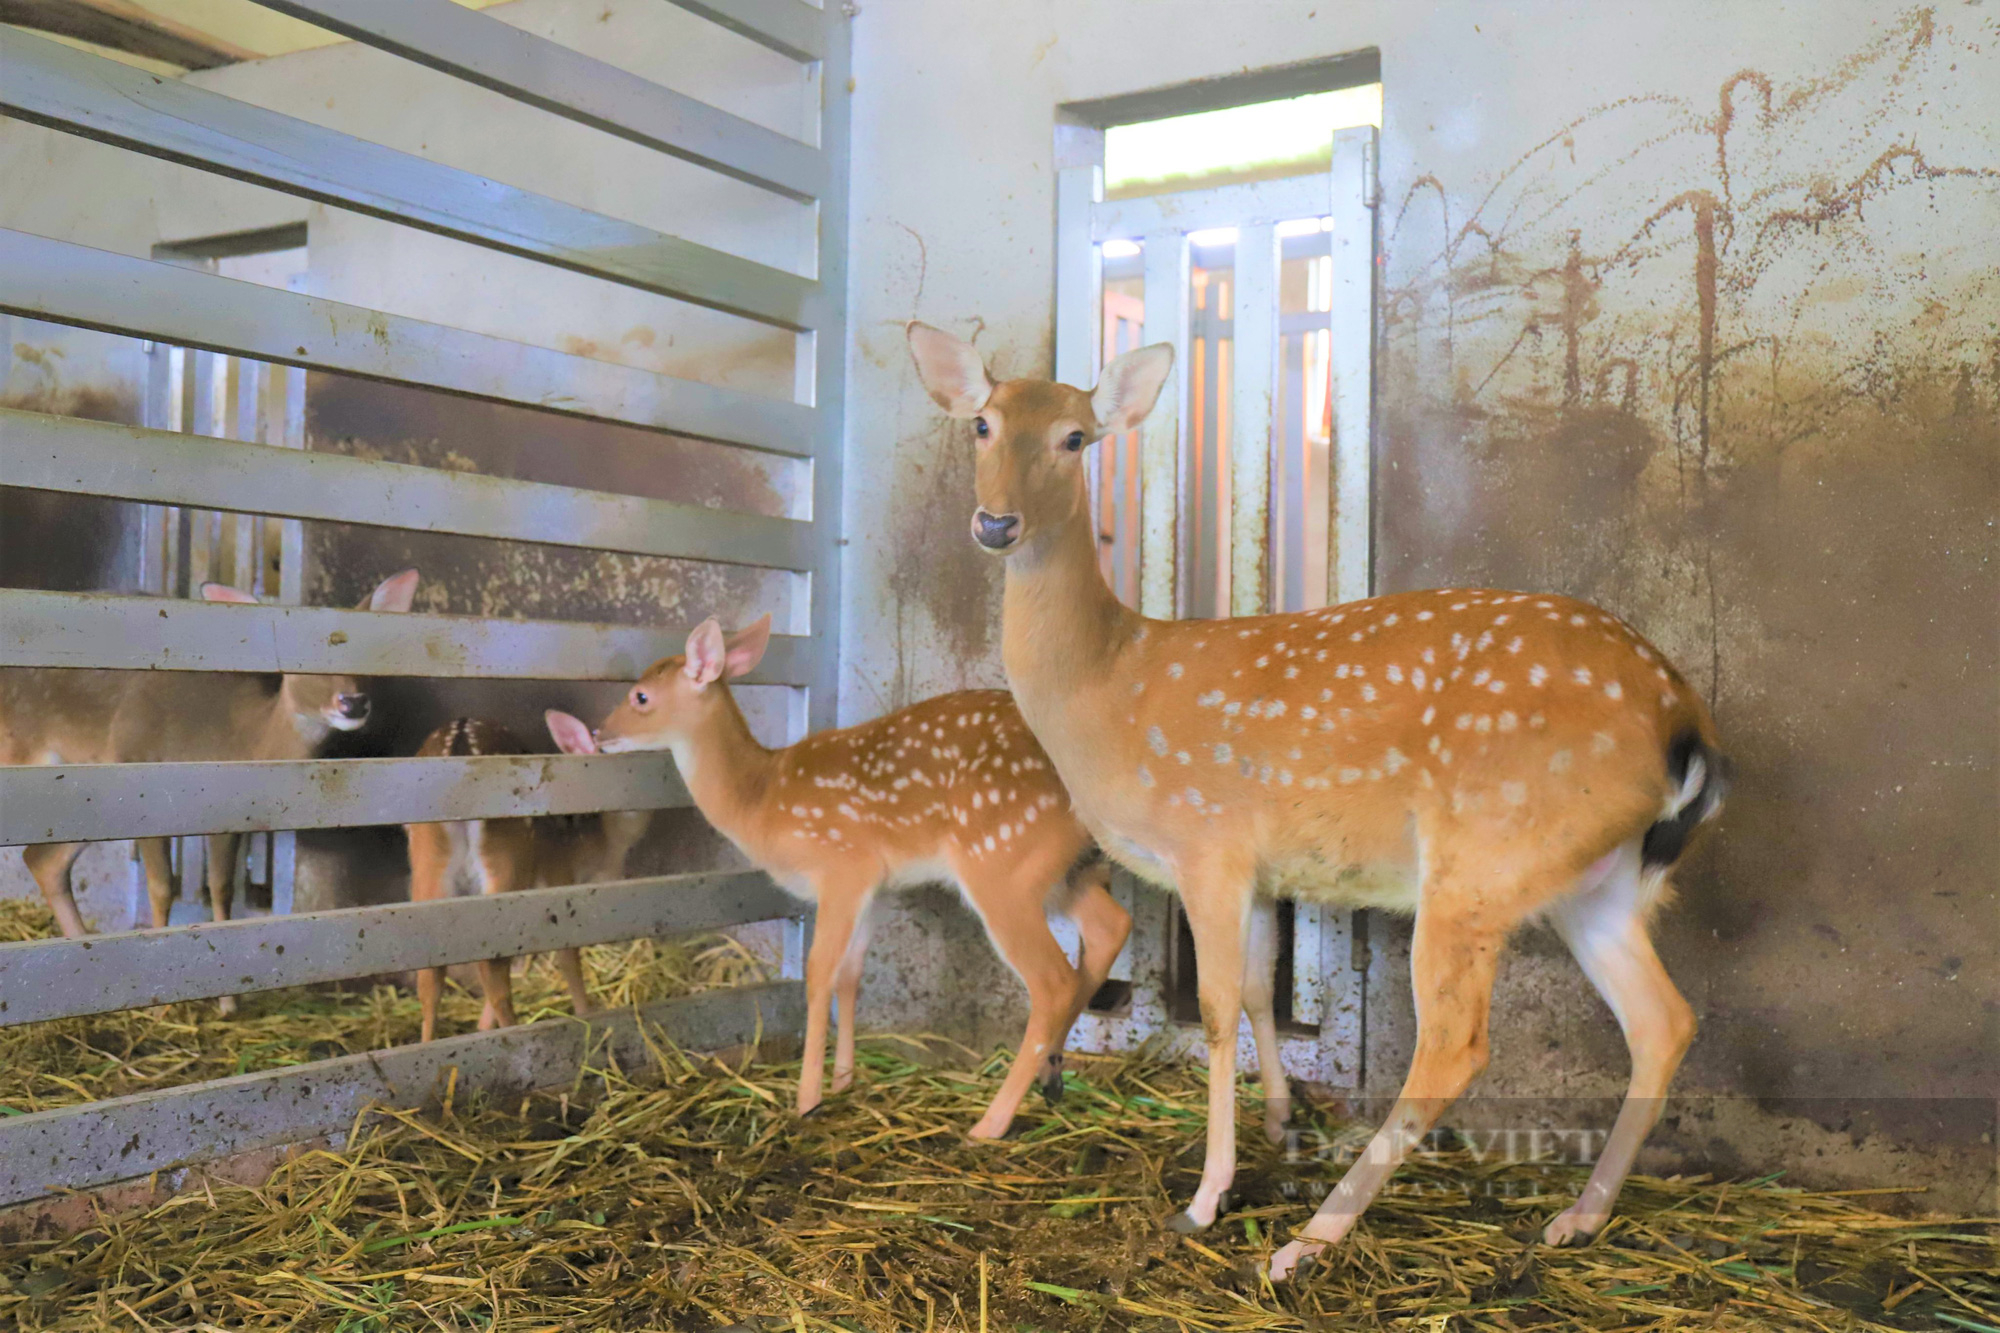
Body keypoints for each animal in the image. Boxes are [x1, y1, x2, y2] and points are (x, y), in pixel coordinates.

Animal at [588, 612, 1128, 1128]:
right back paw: (1051, 1078)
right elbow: (851, 974)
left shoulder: (841, 865)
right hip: (1063, 872)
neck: (761, 800)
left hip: (1002, 863)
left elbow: (818, 974)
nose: (598, 734)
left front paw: (807, 1100)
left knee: (1053, 981)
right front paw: (844, 1080)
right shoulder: (877, 886)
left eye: (640, 695)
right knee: (1110, 927)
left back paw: (989, 1123)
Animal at [916, 316, 1728, 1272]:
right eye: (983, 423)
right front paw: (1277, 1122)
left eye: (1075, 437)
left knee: (1456, 1045)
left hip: (1482, 856)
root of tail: (1684, 720)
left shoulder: (1210, 842)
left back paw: (1308, 1240)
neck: (1107, 687)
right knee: (1664, 1020)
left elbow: (1218, 1009)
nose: (996, 521)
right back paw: (1575, 1216)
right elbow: (1261, 991)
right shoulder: (1269, 869)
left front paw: (1206, 1197)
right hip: (1595, 879)